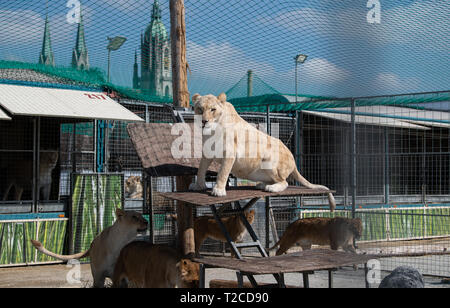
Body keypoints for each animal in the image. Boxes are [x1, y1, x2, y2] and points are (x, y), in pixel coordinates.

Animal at [188, 92, 336, 212]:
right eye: (200, 109)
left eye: (213, 109)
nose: (204, 121)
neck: (212, 131)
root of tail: (293, 160)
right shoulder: (207, 153)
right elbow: (200, 170)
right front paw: (199, 185)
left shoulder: (229, 152)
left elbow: (222, 173)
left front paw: (218, 190)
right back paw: (262, 185)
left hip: (269, 160)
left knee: (285, 183)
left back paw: (271, 188)